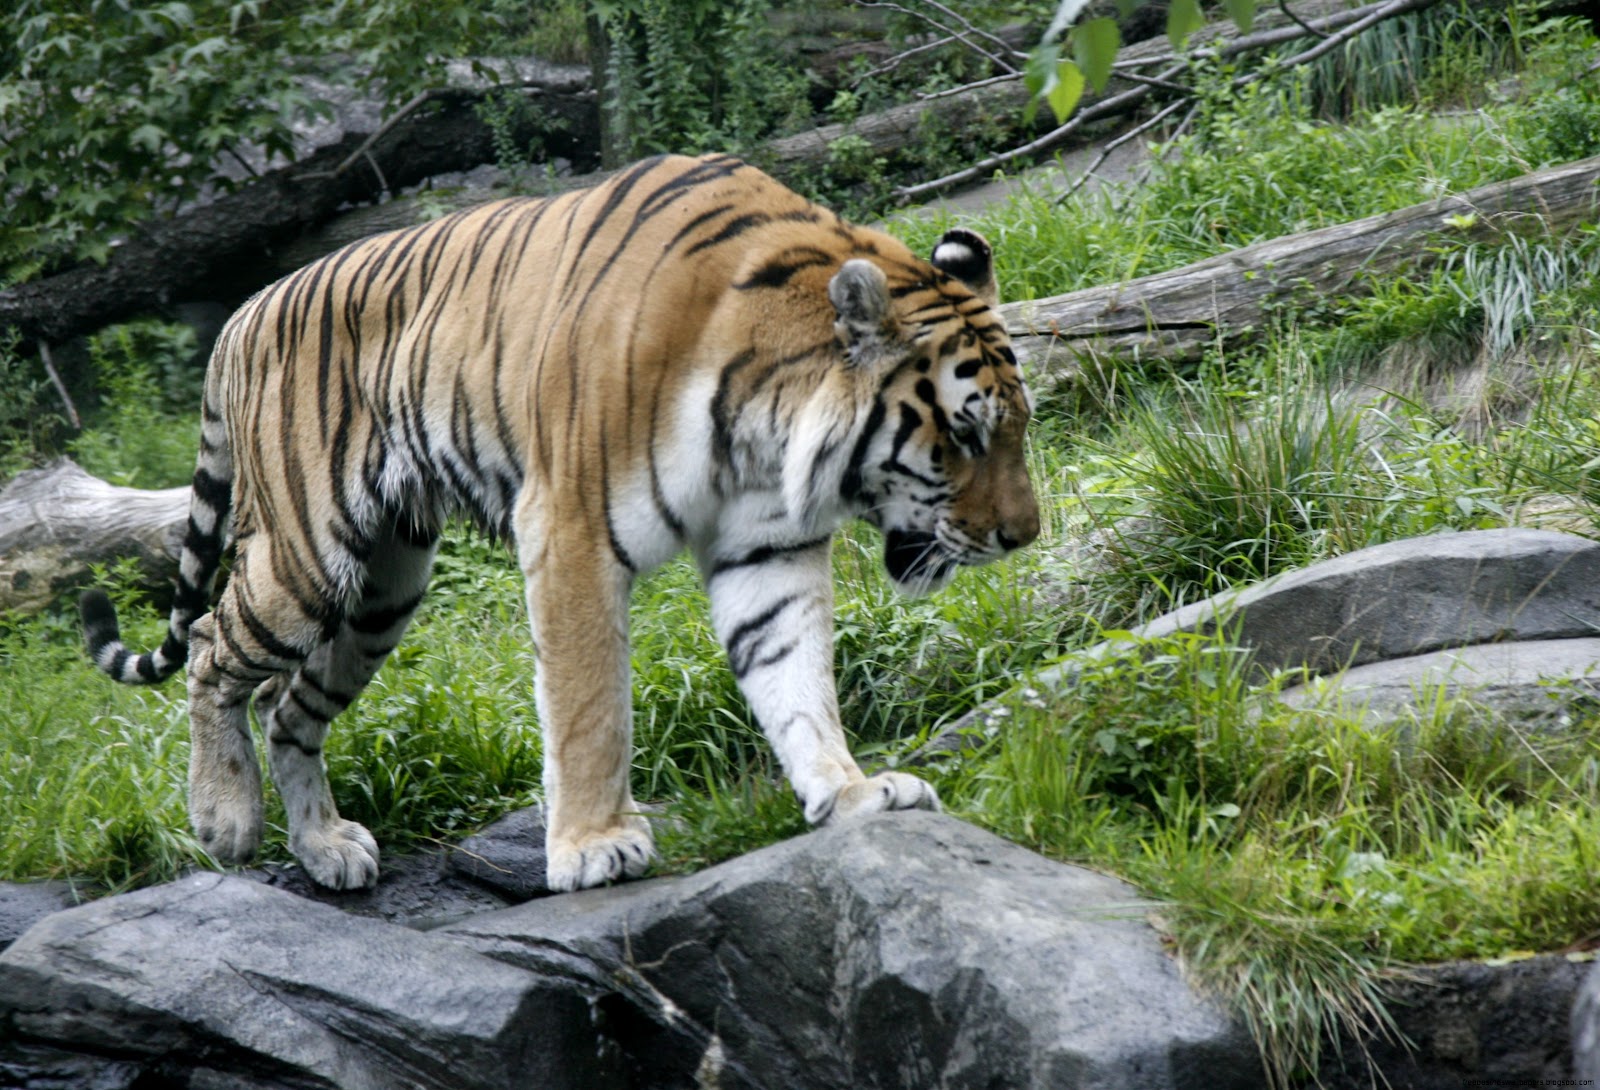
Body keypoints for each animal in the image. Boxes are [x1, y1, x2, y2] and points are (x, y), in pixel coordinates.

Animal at [80, 152, 1040, 893]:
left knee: (287, 706)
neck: (769, 427)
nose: (1022, 536)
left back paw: (324, 847)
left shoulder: (768, 547)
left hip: (384, 589)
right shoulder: (571, 531)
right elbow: (589, 708)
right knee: (212, 647)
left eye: (1018, 427)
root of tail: (241, 315)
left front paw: (851, 794)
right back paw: (226, 817)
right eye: (963, 435)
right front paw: (594, 846)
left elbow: (797, 678)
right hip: (307, 556)